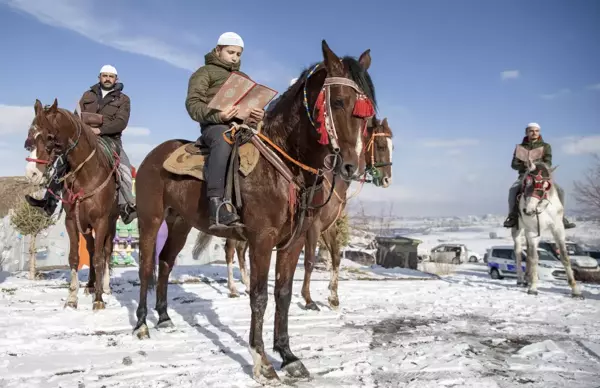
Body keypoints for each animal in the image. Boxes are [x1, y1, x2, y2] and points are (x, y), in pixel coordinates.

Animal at [23, 99, 119, 310]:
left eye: (50, 137)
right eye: (30, 136)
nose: (32, 173)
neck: (86, 175)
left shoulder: (101, 221)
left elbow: (99, 258)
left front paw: (99, 300)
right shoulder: (72, 222)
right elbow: (75, 257)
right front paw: (72, 298)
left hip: (111, 224)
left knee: (106, 251)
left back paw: (105, 287)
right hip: (86, 226)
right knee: (91, 249)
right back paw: (90, 285)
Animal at [214, 119, 394, 306]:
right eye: (381, 146)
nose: (387, 179)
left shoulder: (328, 228)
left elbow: (336, 257)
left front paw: (333, 296)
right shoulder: (312, 227)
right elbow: (309, 261)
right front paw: (307, 298)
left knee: (241, 250)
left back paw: (246, 283)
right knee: (230, 250)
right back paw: (233, 288)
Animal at [510, 160, 580, 298]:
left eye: (545, 185)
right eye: (527, 182)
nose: (528, 210)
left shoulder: (558, 229)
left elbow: (564, 256)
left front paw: (575, 290)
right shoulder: (532, 231)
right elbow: (534, 258)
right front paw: (533, 287)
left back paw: (527, 278)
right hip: (518, 230)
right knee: (519, 252)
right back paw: (521, 279)